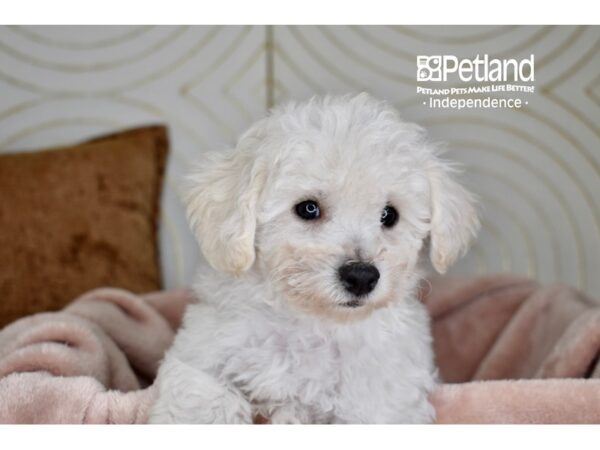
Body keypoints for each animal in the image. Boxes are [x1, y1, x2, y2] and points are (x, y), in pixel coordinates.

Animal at [149, 93, 478, 424]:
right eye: (308, 208)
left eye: (389, 215)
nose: (362, 276)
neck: (313, 323)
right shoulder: (203, 353)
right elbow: (203, 398)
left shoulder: (384, 398)